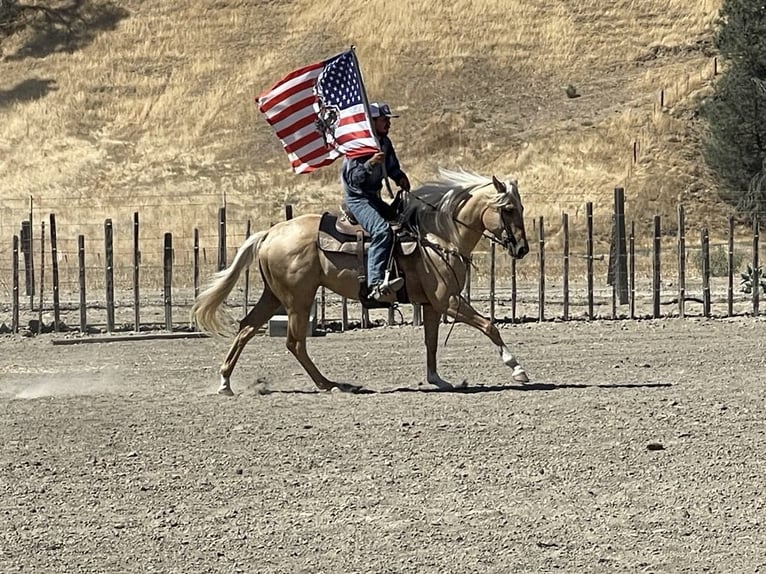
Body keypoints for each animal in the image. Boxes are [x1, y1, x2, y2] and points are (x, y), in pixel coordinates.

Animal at [190, 169, 532, 398]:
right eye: (508, 209)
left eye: (522, 208)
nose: (522, 249)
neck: (439, 237)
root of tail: (270, 233)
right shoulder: (448, 300)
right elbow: (489, 325)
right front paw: (517, 369)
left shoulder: (434, 305)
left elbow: (431, 342)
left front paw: (437, 379)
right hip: (298, 299)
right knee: (294, 342)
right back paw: (329, 385)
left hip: (274, 296)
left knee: (247, 328)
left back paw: (225, 383)